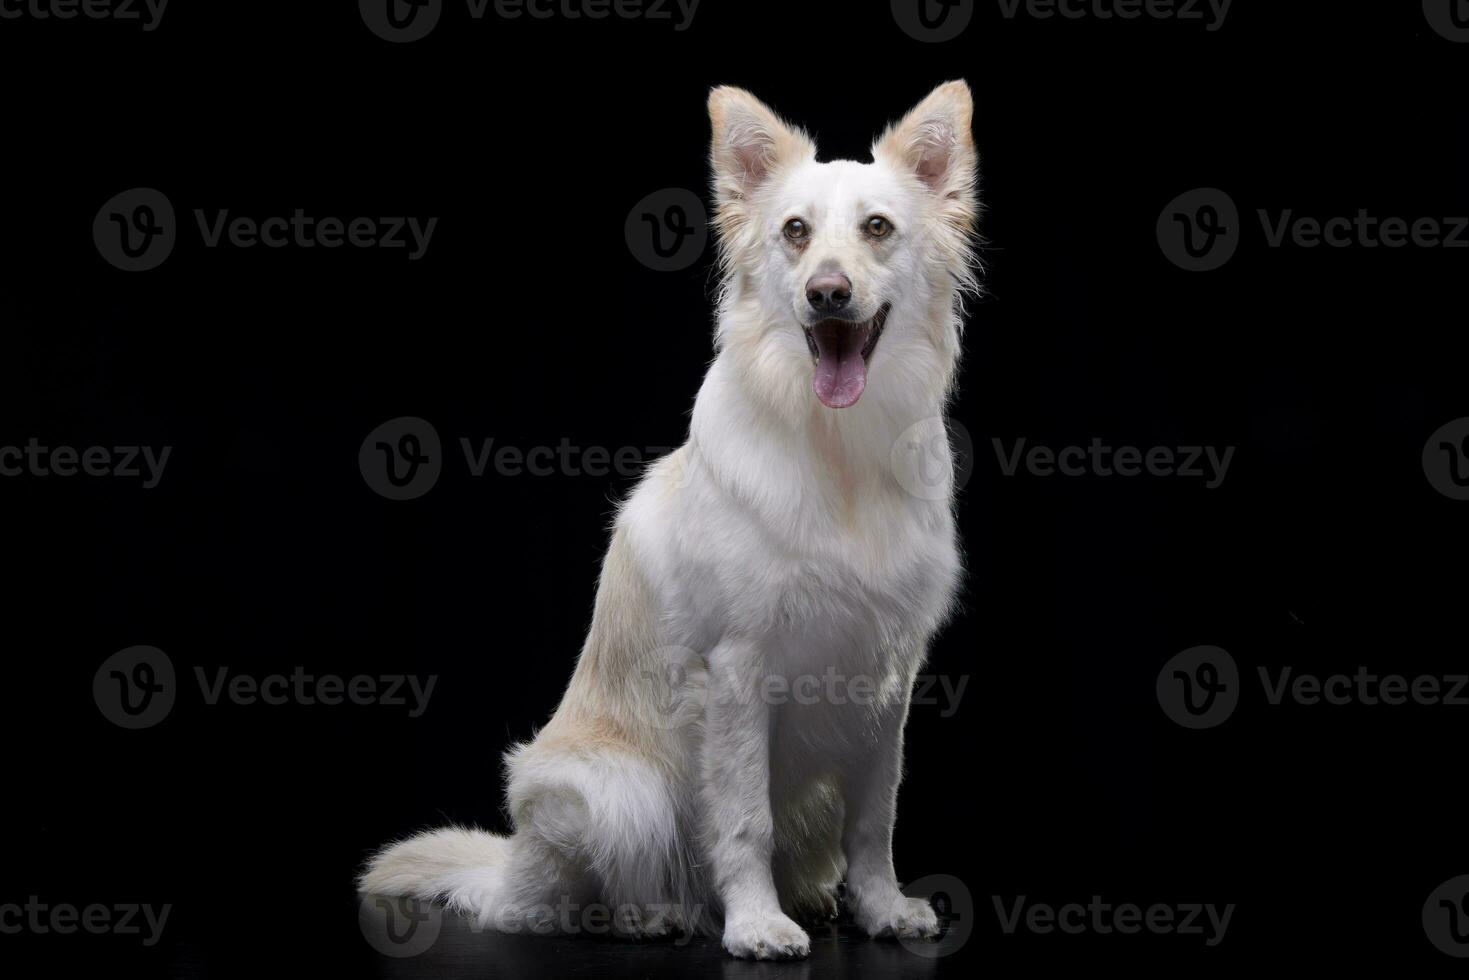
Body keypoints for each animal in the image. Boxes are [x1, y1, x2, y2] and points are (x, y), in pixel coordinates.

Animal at [358, 80, 975, 963]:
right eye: (795, 232)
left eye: (877, 228)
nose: (826, 294)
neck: (838, 450)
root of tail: (511, 869)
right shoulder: (738, 675)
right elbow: (743, 820)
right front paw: (754, 925)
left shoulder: (888, 681)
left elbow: (874, 820)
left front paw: (882, 910)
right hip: (610, 792)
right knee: (574, 896)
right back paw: (654, 914)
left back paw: (805, 898)